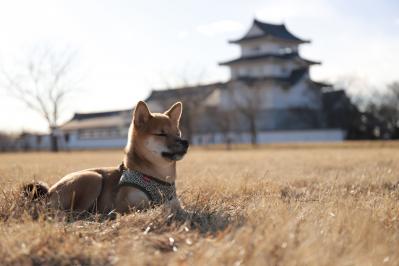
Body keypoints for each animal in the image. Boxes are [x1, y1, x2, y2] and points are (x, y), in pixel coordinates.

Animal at [23, 101, 189, 215]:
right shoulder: (124, 206)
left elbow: (176, 204)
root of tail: (49, 192)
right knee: (73, 212)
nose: (186, 142)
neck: (158, 177)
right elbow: (155, 206)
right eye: (161, 134)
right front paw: (166, 208)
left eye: (178, 133)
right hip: (92, 178)